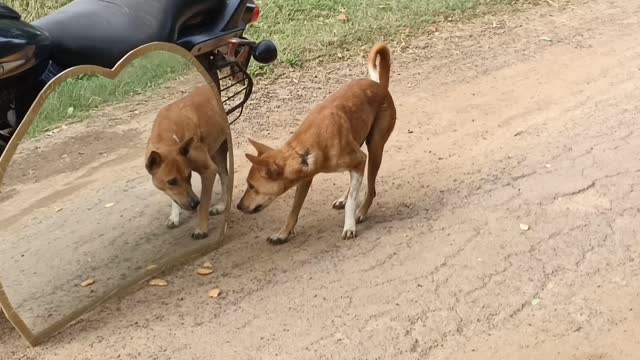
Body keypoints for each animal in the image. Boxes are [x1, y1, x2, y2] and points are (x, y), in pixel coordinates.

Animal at [144, 84, 229, 239]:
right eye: (172, 181)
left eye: (189, 176)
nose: (194, 203)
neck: (167, 137)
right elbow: (174, 197)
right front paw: (174, 216)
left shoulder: (208, 170)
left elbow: (204, 204)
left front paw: (201, 228)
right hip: (215, 152)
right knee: (225, 175)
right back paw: (221, 205)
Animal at [236, 43, 396, 243]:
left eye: (251, 186)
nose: (238, 206)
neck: (303, 152)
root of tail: (380, 85)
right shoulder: (305, 179)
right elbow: (294, 210)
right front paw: (283, 233)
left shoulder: (360, 158)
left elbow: (352, 200)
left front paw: (349, 226)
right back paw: (344, 198)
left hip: (375, 149)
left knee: (371, 188)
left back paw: (362, 211)